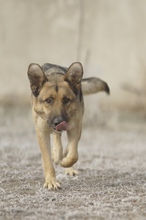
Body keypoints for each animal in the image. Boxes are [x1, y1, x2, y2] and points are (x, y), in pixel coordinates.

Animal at [27, 61, 109, 189]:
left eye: (66, 100)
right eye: (48, 100)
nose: (59, 121)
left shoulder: (75, 127)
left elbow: (73, 154)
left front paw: (64, 162)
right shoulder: (41, 132)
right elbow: (47, 160)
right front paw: (51, 181)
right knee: (57, 138)